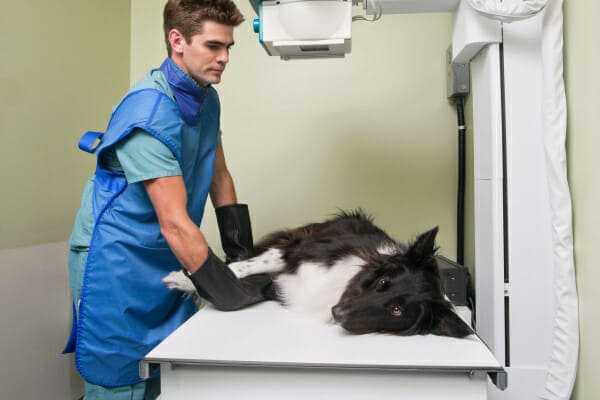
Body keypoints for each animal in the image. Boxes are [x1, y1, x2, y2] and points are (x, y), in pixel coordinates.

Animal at [163, 211, 474, 340]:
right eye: (383, 282)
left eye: (397, 311)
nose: (338, 312)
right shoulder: (298, 251)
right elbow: (239, 269)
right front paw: (180, 278)